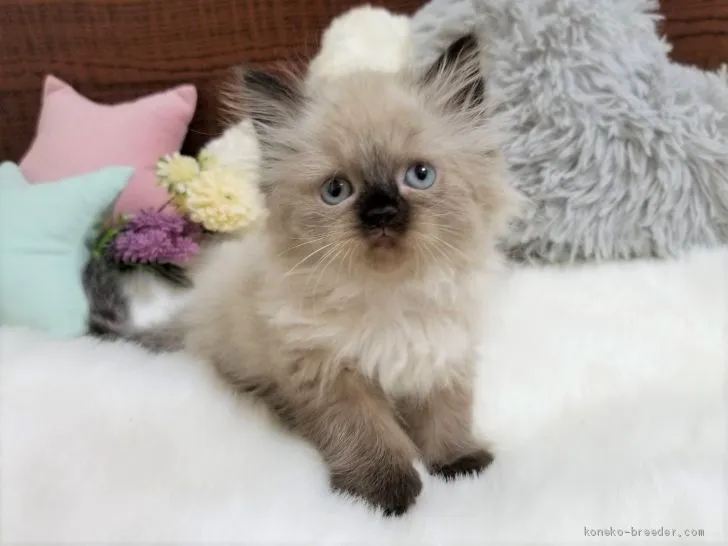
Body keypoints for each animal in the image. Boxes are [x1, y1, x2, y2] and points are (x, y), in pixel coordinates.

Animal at [100, 34, 518, 516]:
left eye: (419, 175)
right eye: (337, 191)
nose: (382, 213)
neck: (389, 296)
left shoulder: (441, 356)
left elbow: (446, 420)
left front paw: (458, 465)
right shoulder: (330, 374)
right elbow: (370, 436)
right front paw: (384, 498)